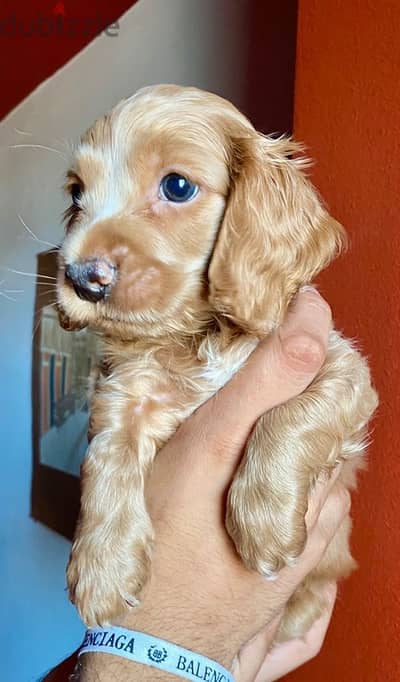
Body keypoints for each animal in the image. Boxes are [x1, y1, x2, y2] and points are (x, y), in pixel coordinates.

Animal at [56, 83, 378, 636]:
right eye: (77, 194)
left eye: (178, 186)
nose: (80, 277)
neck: (200, 338)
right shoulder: (129, 391)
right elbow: (106, 455)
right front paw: (101, 566)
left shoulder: (341, 366)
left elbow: (288, 416)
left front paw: (264, 521)